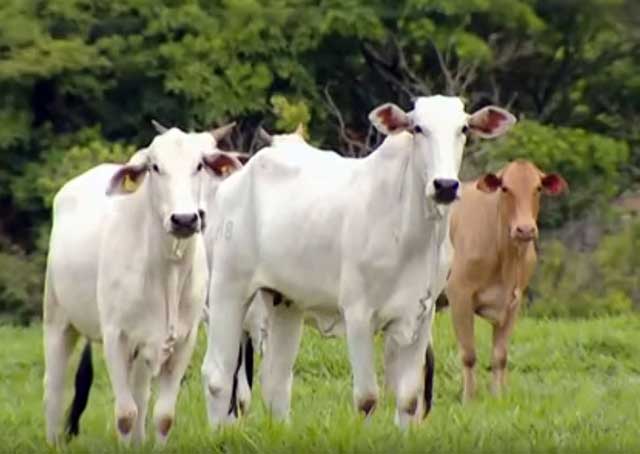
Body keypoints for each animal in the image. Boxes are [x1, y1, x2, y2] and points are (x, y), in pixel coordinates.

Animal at [43, 124, 242, 445]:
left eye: (199, 165)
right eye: (155, 167)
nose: (184, 219)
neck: (166, 273)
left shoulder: (183, 341)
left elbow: (163, 416)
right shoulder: (115, 337)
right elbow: (125, 415)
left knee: (140, 393)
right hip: (57, 317)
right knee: (54, 387)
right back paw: (54, 442)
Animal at [201, 95, 516, 429]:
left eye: (464, 128)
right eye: (418, 128)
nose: (445, 185)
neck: (412, 233)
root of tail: (234, 179)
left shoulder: (421, 316)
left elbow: (409, 399)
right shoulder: (358, 315)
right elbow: (367, 398)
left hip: (286, 302)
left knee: (276, 381)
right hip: (228, 289)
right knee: (218, 376)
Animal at [445, 159, 568, 402]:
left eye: (538, 188)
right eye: (505, 188)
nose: (525, 229)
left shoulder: (513, 301)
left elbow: (499, 356)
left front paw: (497, 397)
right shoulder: (459, 294)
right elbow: (469, 354)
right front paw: (468, 399)